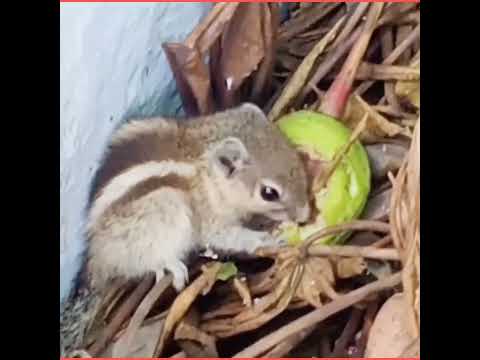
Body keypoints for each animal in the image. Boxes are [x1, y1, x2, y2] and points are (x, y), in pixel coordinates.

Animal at [60, 102, 312, 356]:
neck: (210, 173)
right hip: (166, 209)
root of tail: (97, 260)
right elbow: (230, 236)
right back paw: (171, 265)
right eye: (269, 193)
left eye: (295, 156)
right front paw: (269, 238)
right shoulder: (211, 217)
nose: (305, 214)